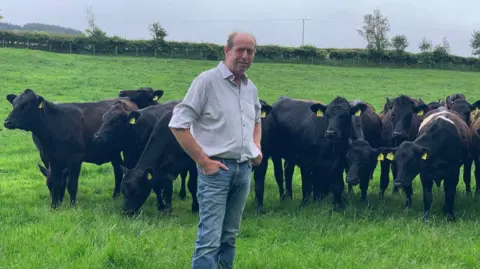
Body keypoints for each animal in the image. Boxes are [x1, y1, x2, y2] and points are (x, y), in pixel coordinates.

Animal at [4, 88, 137, 207]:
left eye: (25, 105)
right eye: (14, 104)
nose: (7, 122)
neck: (55, 123)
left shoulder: (75, 158)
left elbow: (71, 184)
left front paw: (72, 206)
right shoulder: (51, 158)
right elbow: (57, 182)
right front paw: (55, 205)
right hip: (113, 151)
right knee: (118, 169)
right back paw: (115, 195)